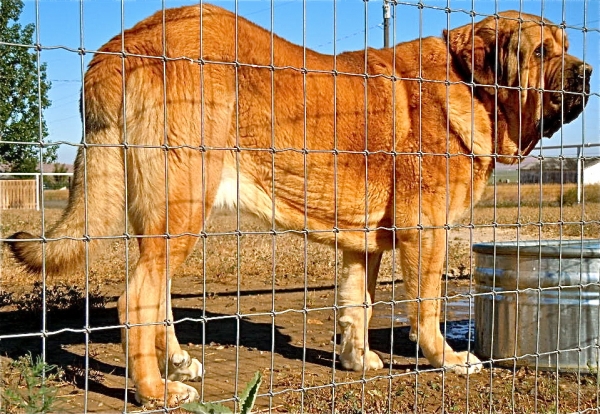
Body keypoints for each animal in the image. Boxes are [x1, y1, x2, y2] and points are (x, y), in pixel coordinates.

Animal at [8, 4, 592, 404]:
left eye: (565, 45)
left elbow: (358, 305)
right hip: (182, 207)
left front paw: (358, 361)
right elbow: (425, 308)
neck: (472, 88)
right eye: (542, 52)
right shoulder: (424, 233)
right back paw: (156, 391)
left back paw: (177, 363)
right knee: (136, 300)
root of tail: (121, 46)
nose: (587, 74)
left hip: (167, 220)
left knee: (157, 297)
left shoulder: (365, 244)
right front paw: (447, 359)